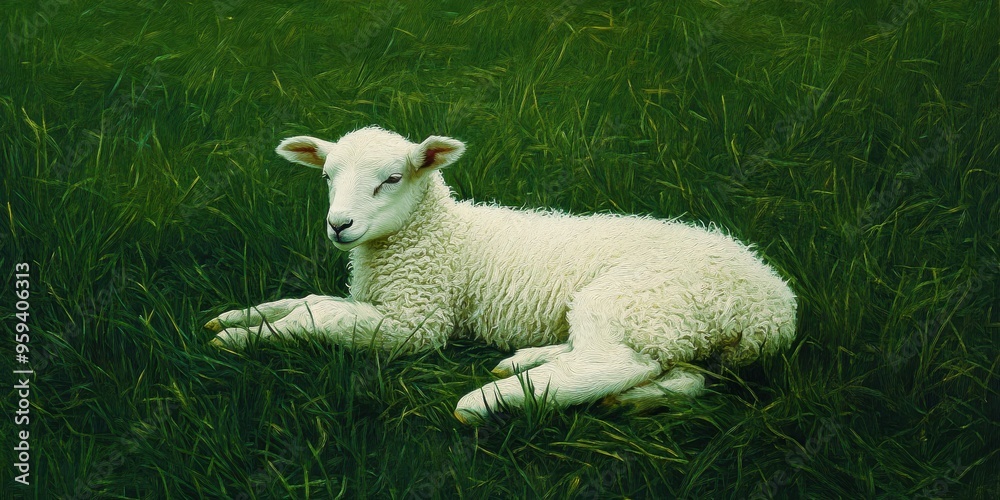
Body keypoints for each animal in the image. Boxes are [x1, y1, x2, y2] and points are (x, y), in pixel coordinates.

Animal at [205, 126, 798, 424]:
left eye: (392, 178)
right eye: (327, 176)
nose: (338, 226)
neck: (438, 234)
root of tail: (773, 309)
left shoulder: (417, 323)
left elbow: (319, 314)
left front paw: (242, 339)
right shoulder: (383, 305)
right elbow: (308, 301)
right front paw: (238, 317)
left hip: (639, 301)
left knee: (610, 364)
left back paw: (491, 400)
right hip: (677, 328)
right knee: (679, 376)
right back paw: (549, 369)